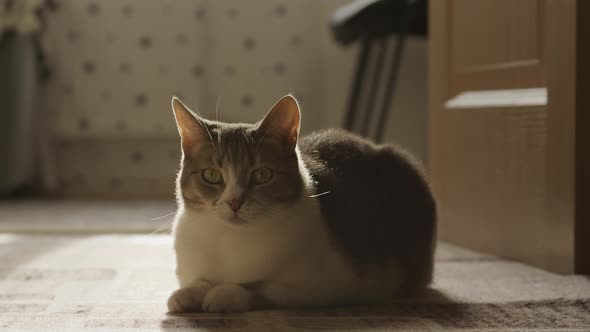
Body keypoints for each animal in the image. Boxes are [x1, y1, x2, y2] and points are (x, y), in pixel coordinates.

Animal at [169, 94, 438, 312]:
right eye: (211, 175)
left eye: (262, 175)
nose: (234, 202)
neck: (231, 238)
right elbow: (198, 279)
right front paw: (189, 293)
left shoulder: (332, 283)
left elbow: (265, 286)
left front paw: (226, 293)